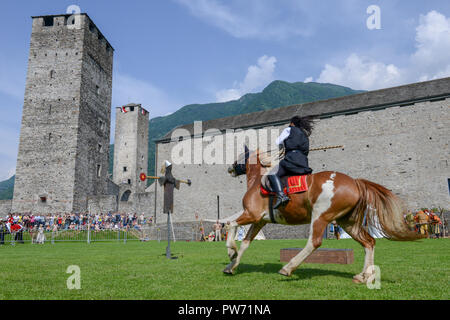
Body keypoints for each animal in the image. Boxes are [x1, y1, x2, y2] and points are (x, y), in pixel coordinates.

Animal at [223, 147, 424, 282]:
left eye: (240, 156)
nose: (230, 169)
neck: (259, 182)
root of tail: (355, 182)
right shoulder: (259, 221)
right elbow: (245, 243)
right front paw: (231, 266)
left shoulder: (252, 215)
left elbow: (230, 225)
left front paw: (231, 251)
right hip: (347, 222)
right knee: (369, 242)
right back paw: (364, 276)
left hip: (320, 216)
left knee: (314, 242)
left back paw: (288, 268)